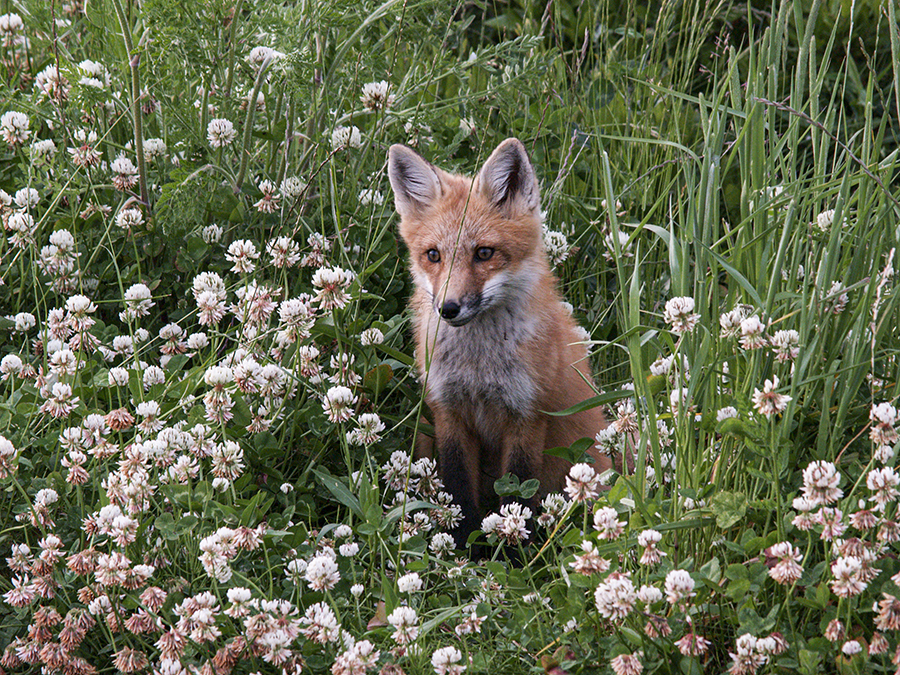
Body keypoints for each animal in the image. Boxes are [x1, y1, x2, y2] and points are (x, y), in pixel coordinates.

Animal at [386, 139, 612, 548]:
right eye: (433, 255)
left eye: (484, 253)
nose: (449, 308)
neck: (480, 367)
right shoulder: (448, 411)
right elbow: (458, 490)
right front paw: (462, 547)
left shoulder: (528, 416)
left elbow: (517, 497)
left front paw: (512, 553)